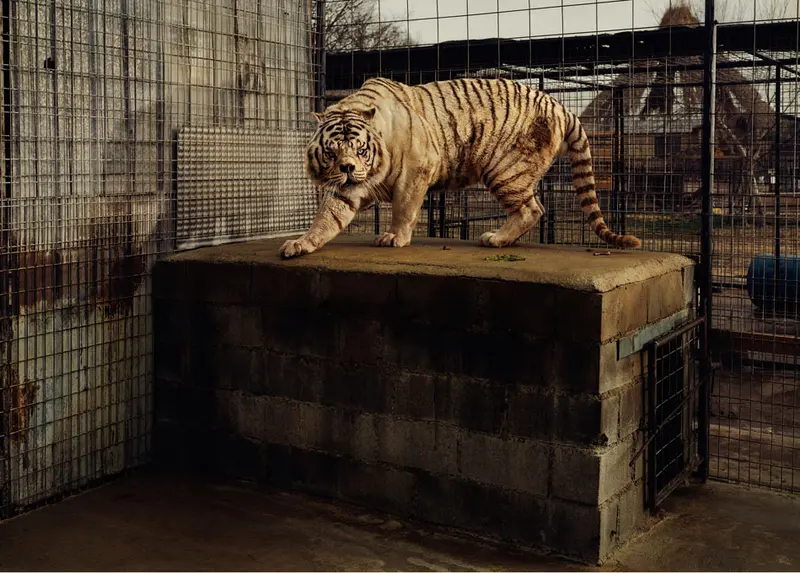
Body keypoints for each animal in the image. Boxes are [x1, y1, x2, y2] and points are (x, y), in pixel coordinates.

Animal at [279, 77, 640, 259]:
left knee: (533, 209)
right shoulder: (347, 187)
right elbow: (328, 216)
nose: (348, 168)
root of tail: (560, 105)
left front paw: (394, 237)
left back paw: (496, 239)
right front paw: (301, 243)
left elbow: (403, 208)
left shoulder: (417, 169)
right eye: (332, 151)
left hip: (504, 169)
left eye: (360, 148)